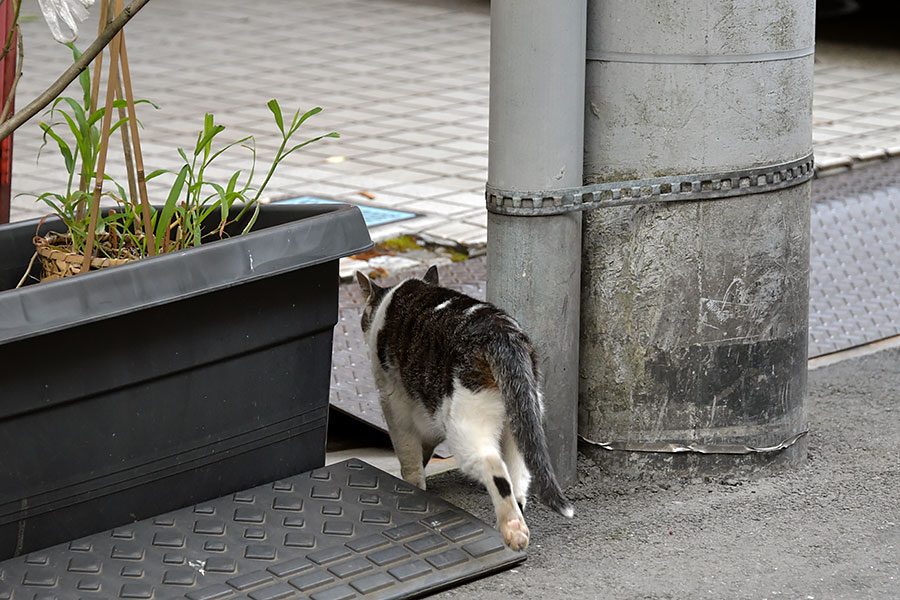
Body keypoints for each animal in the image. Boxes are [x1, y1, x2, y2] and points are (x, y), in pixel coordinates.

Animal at [356, 264, 572, 552]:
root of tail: (502, 334)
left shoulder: (395, 403)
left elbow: (409, 456)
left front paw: (413, 485)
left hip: (464, 424)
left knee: (494, 466)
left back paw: (513, 530)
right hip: (520, 419)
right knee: (518, 477)